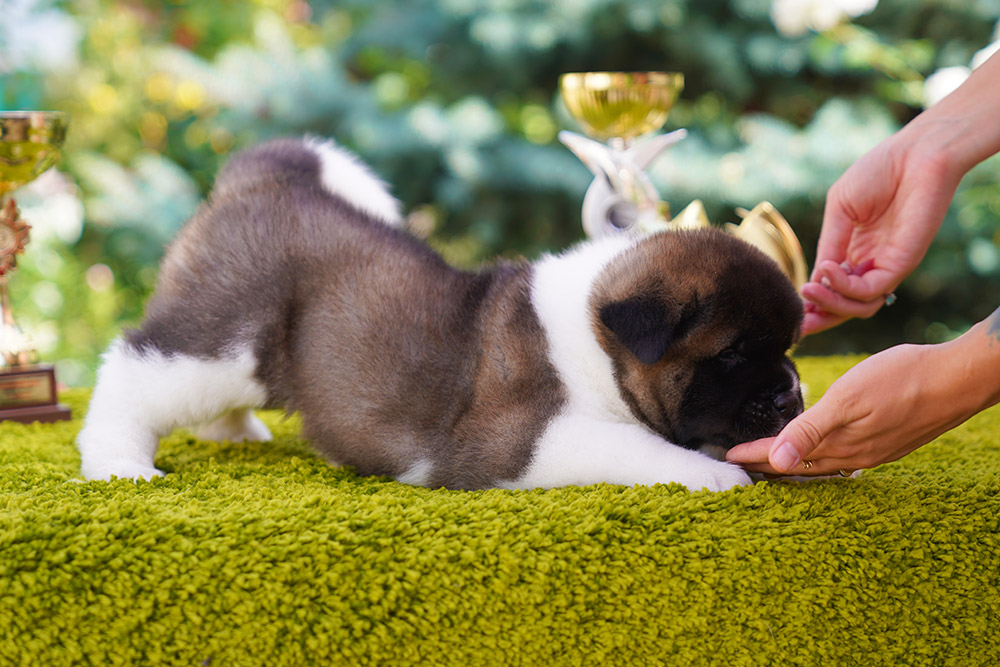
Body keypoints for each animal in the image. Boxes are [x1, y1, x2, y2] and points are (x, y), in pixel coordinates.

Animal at [76, 137, 804, 490]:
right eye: (732, 353)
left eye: (789, 346)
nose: (792, 394)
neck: (597, 346)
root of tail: (268, 177)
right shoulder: (525, 443)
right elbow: (636, 446)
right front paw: (714, 472)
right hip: (223, 332)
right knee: (135, 369)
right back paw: (118, 460)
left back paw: (234, 432)